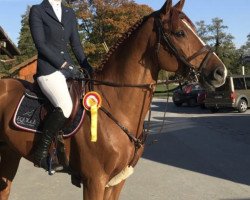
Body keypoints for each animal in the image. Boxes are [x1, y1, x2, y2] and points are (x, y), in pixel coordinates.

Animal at [0, 0, 228, 199]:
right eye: (180, 33)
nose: (220, 72)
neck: (115, 107)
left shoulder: (117, 181)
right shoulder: (95, 181)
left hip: (10, 154)